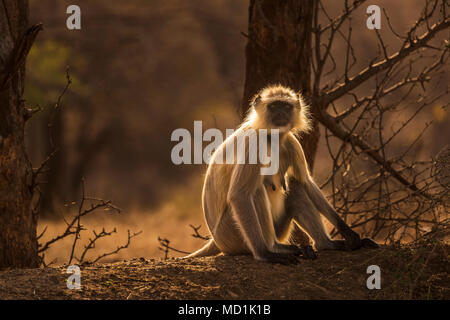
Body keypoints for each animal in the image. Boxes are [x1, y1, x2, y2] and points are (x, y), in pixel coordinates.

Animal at [185, 85, 378, 264]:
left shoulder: (292, 142)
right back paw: (273, 248)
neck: (272, 138)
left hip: (278, 229)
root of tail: (215, 239)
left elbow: (306, 182)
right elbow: (239, 194)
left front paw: (348, 232)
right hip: (232, 235)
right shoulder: (255, 142)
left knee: (295, 184)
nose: (280, 113)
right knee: (255, 190)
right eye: (273, 106)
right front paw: (264, 254)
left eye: (285, 106)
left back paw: (326, 244)